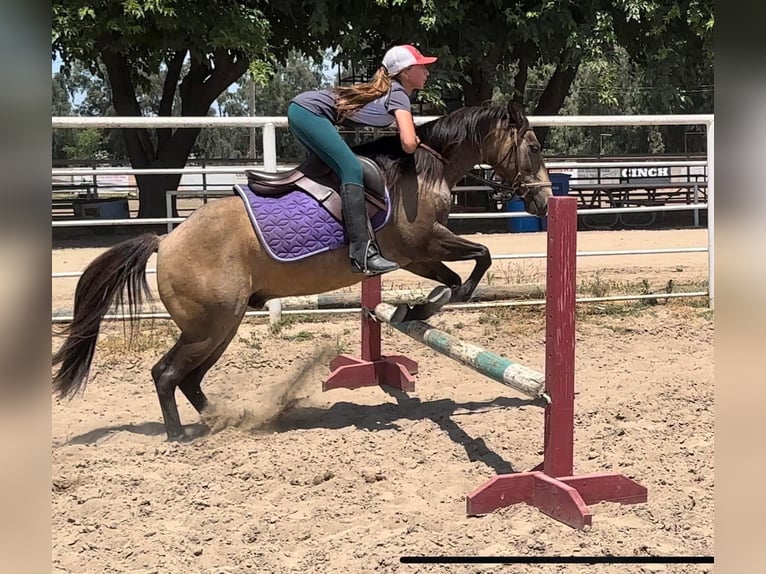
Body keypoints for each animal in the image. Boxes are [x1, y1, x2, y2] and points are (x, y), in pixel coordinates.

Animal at [51, 100, 552, 440]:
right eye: (532, 146)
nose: (546, 202)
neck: (422, 168)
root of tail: (166, 240)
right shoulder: (421, 246)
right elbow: (479, 258)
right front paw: (432, 305)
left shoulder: (420, 255)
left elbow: (456, 275)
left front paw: (415, 310)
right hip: (209, 326)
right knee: (167, 374)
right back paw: (180, 435)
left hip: (222, 325)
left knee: (189, 378)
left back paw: (223, 420)